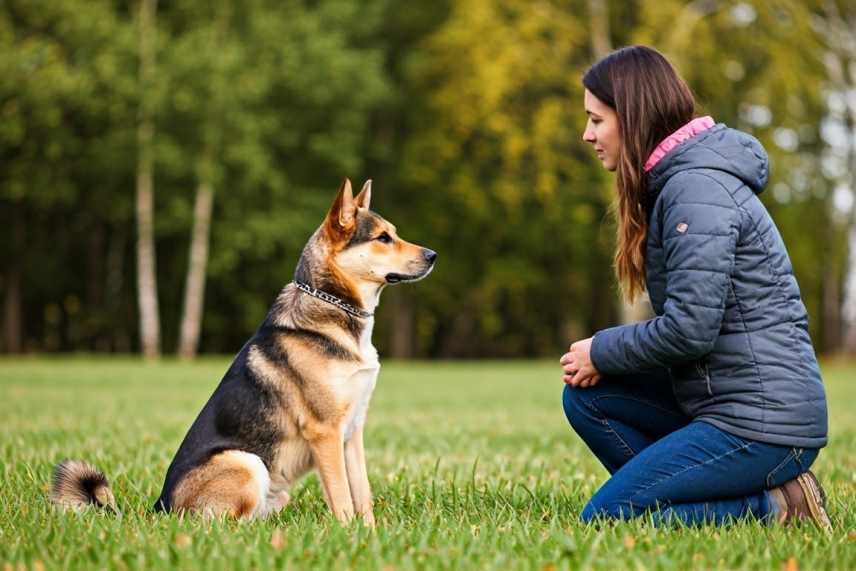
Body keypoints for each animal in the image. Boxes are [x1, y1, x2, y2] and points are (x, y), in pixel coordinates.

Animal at [53, 181, 438, 524]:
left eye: (393, 233)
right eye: (383, 238)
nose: (433, 256)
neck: (333, 307)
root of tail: (160, 508)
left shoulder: (352, 431)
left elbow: (362, 493)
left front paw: (369, 533)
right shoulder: (325, 432)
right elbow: (342, 496)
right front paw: (347, 534)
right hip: (247, 462)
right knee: (221, 524)